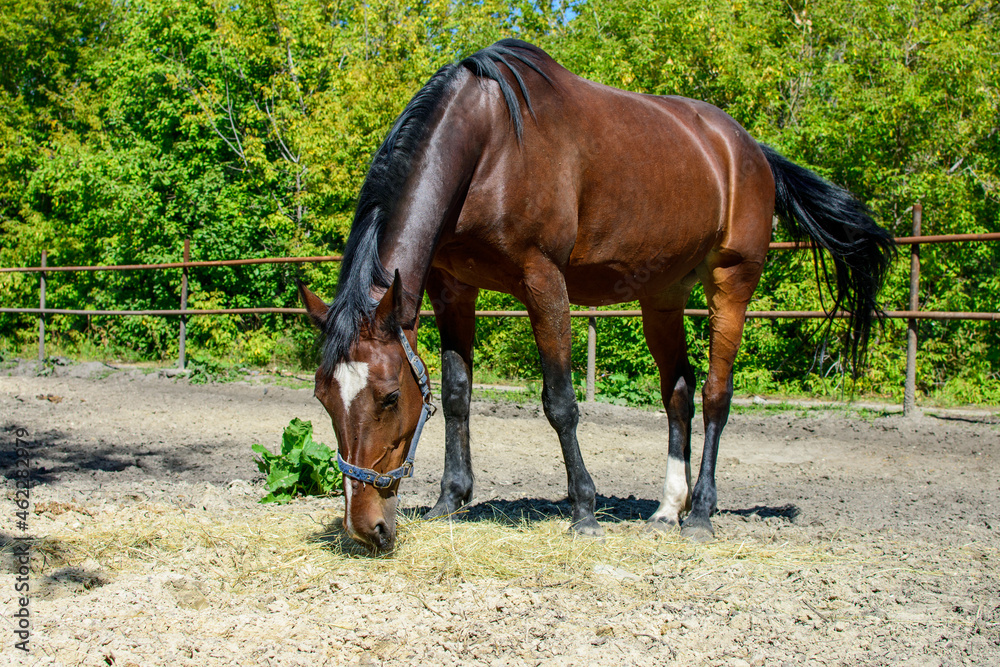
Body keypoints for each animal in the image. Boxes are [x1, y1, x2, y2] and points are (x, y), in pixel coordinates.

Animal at [298, 39, 895, 552]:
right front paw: (451, 498)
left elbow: (560, 401)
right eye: (324, 397)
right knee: (678, 394)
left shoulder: (543, 279)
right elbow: (456, 394)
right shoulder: (453, 289)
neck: (489, 143)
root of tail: (750, 149)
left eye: (388, 398)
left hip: (732, 283)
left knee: (715, 396)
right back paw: (667, 509)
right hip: (662, 296)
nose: (365, 527)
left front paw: (583, 511)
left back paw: (700, 514)